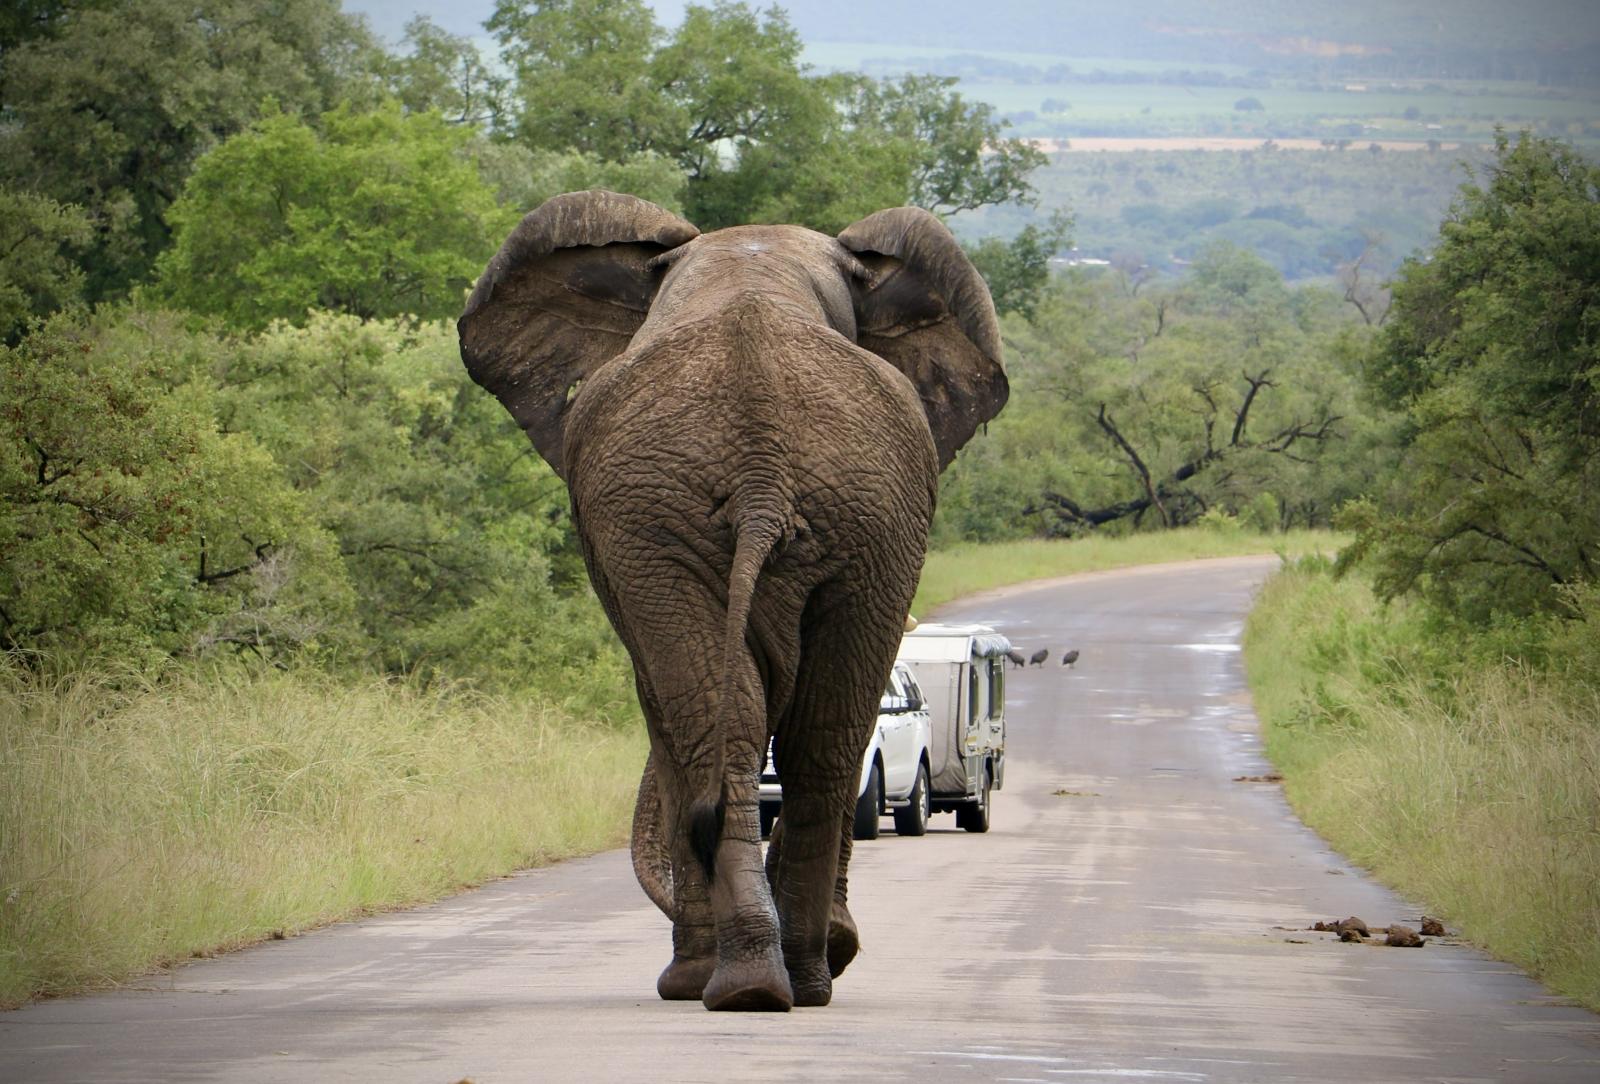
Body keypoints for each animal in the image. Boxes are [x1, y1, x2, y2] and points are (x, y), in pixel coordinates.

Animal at [457, 191, 998, 1016]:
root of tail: (760, 465)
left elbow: (665, 708)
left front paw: (693, 979)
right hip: (836, 515)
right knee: (812, 734)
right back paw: (780, 982)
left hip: (723, 518)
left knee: (739, 725)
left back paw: (747, 983)